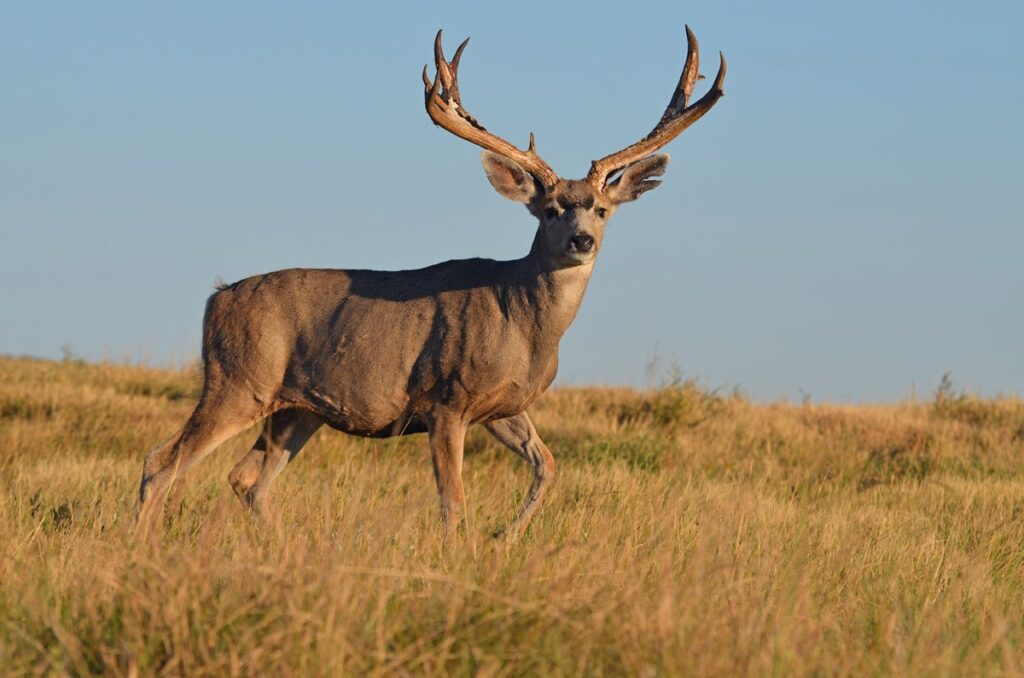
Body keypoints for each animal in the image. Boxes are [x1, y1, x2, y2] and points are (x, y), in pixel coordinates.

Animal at [134, 26, 729, 544]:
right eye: (551, 210)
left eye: (602, 210)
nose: (582, 240)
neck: (523, 321)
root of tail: (216, 297)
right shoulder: (446, 399)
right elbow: (454, 499)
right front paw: (459, 554)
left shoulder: (503, 407)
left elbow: (548, 465)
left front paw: (505, 537)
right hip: (238, 380)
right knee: (162, 459)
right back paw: (142, 544)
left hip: (295, 409)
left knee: (247, 479)